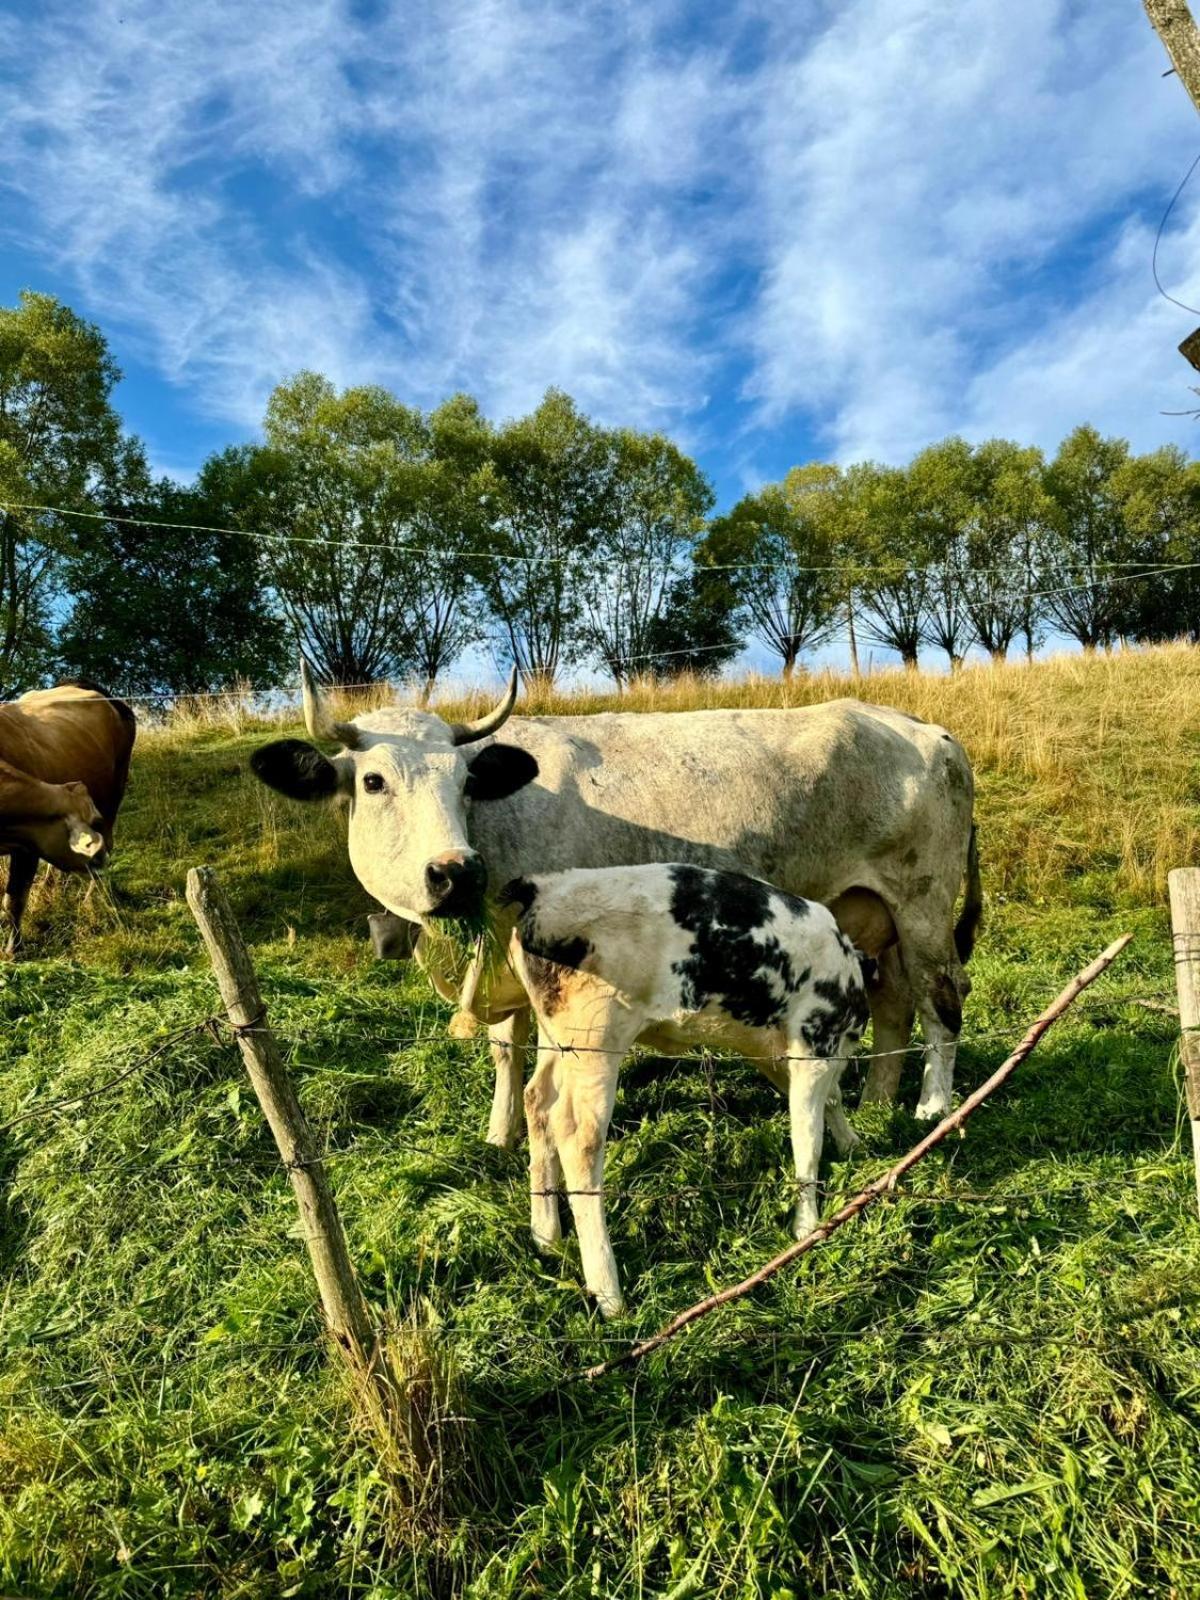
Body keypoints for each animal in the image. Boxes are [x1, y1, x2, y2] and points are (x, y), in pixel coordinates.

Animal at [0, 675, 136, 947]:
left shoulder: (27, 846)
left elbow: (13, 901)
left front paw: (13, 948)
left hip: (114, 795)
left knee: (109, 845)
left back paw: (91, 900)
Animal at [254, 662, 985, 1126]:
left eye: (465, 782)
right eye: (373, 781)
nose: (456, 872)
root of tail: (927, 729)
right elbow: (505, 1047)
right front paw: (498, 1134)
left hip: (922, 901)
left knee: (941, 996)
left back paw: (932, 1107)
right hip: (873, 910)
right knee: (894, 1000)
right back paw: (879, 1102)